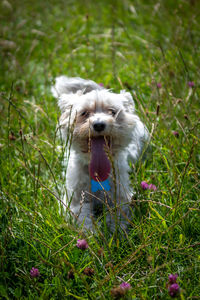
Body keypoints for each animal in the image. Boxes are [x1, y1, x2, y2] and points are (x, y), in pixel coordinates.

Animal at [51, 75, 148, 232]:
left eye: (112, 111)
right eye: (84, 113)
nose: (98, 124)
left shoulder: (121, 195)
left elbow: (117, 214)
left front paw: (114, 230)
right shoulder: (75, 199)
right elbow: (83, 217)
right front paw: (93, 233)